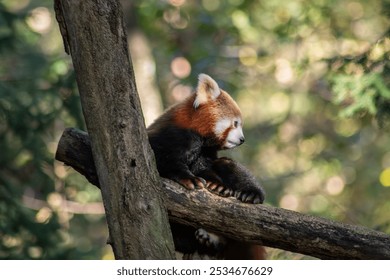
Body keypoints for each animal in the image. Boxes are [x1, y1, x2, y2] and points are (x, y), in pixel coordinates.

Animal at [147, 73, 266, 260]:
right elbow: (164, 161)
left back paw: (250, 195)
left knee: (228, 165)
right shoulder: (167, 137)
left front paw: (217, 185)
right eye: (236, 123)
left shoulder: (204, 152)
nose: (242, 139)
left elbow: (207, 168)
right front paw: (189, 178)